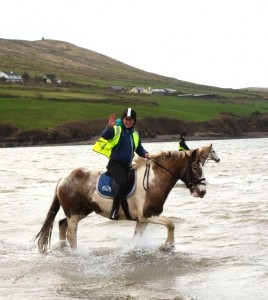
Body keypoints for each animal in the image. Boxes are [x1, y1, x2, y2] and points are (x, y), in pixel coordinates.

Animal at [35, 148, 207, 253]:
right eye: (195, 168)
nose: (202, 191)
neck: (153, 181)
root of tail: (64, 178)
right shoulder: (147, 215)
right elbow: (171, 224)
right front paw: (168, 246)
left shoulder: (142, 220)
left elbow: (137, 237)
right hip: (75, 214)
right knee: (71, 233)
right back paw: (76, 253)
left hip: (82, 211)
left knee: (62, 224)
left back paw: (63, 249)